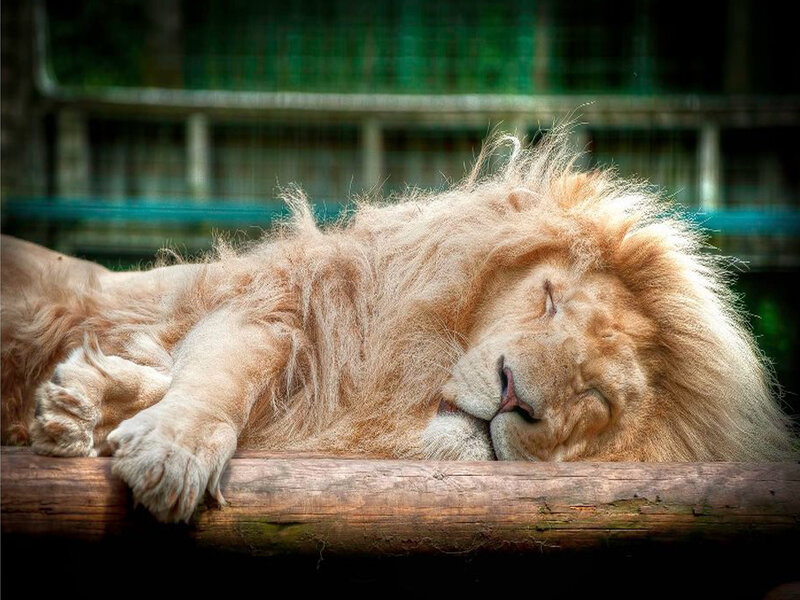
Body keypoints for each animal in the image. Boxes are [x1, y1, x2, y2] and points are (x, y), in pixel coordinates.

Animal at [1, 132, 795, 522]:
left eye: (595, 398)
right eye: (547, 300)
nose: (514, 395)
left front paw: (83, 401)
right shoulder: (278, 308)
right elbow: (220, 379)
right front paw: (166, 447)